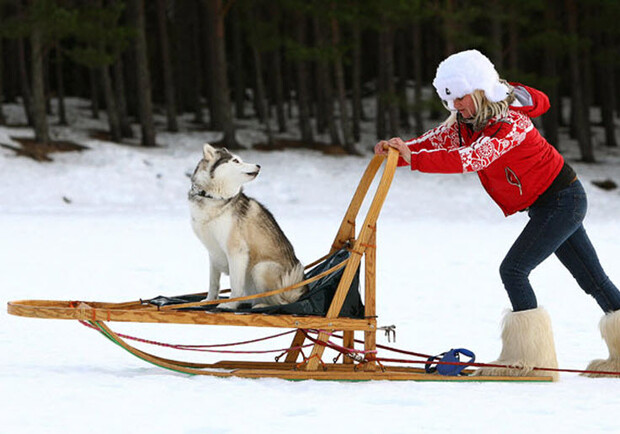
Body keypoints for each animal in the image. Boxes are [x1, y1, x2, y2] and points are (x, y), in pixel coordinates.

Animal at [188, 145, 306, 308]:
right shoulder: (213, 253)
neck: (214, 198)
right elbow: (213, 284)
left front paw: (229, 305)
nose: (258, 165)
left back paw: (262, 305)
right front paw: (209, 301)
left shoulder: (237, 252)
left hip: (260, 268)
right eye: (236, 161)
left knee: (280, 301)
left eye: (240, 159)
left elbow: (235, 285)